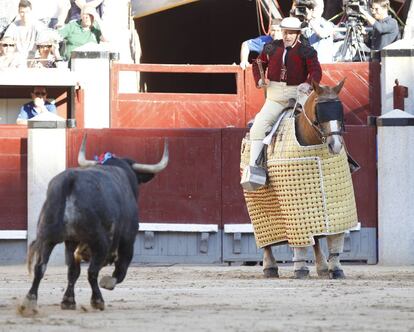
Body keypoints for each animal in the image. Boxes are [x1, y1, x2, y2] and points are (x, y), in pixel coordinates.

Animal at [18, 134, 169, 314]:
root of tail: (70, 180)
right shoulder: (128, 239)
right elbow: (121, 268)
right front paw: (108, 282)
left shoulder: (72, 242)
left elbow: (73, 272)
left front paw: (68, 301)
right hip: (99, 241)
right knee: (92, 272)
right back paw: (98, 301)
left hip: (48, 237)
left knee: (41, 267)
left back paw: (30, 301)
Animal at [258, 79, 352, 278]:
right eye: (318, 113)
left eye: (340, 111)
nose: (335, 145)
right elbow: (300, 238)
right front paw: (300, 269)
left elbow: (334, 236)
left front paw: (335, 268)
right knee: (266, 236)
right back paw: (270, 267)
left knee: (315, 236)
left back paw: (322, 267)